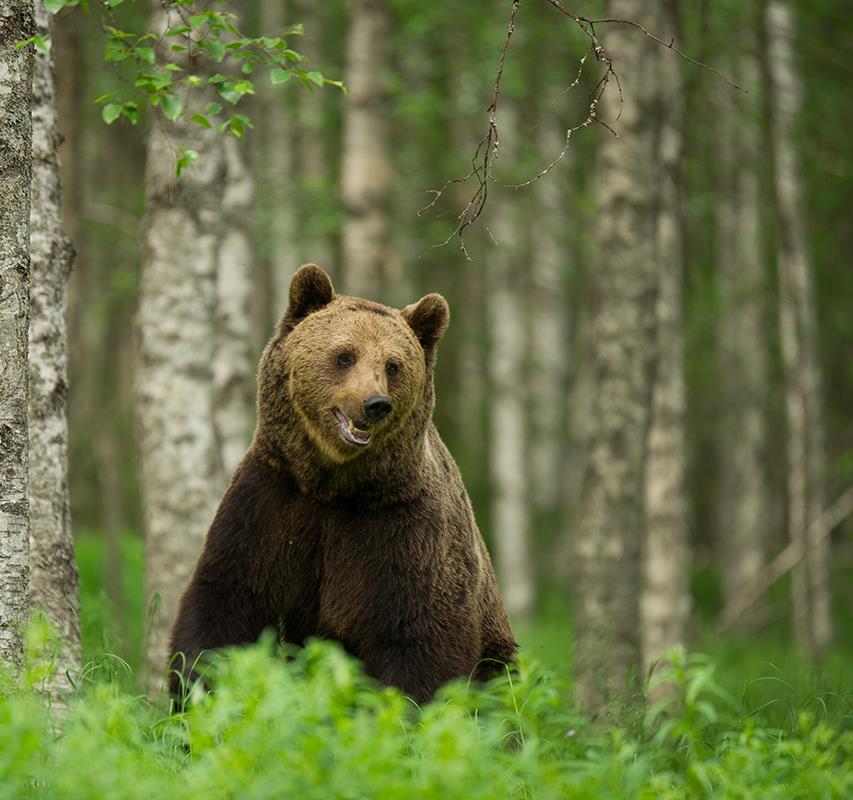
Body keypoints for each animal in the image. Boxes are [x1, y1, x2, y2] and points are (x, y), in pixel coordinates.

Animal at [166, 266, 512, 704]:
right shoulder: (272, 502)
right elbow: (227, 599)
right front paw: (196, 690)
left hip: (497, 651)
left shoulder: (404, 528)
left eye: (393, 365)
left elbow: (420, 634)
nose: (375, 403)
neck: (333, 485)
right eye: (345, 355)